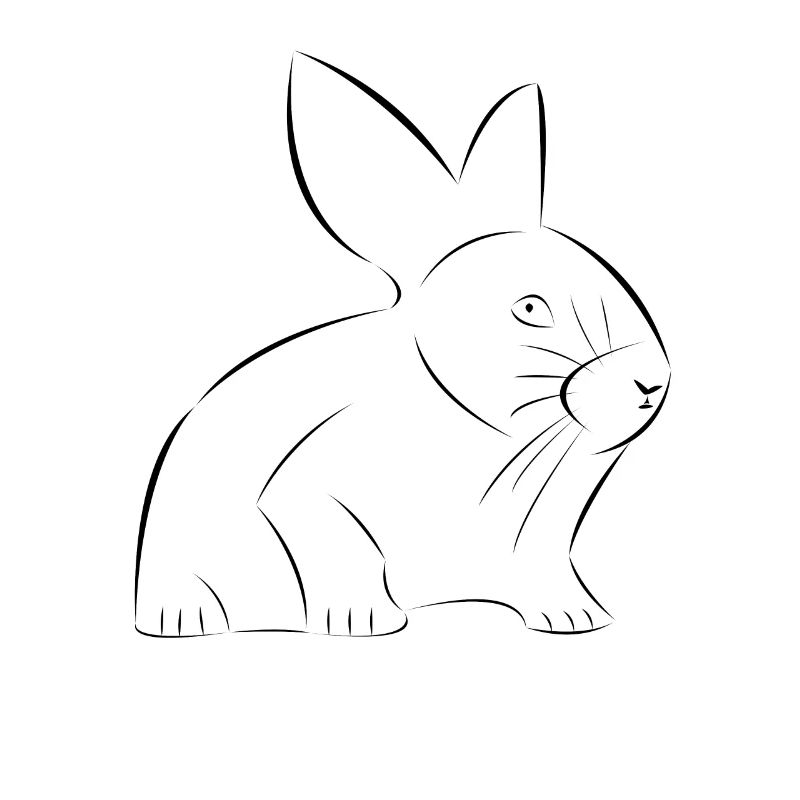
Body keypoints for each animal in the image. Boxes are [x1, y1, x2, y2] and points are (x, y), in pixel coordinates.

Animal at [134, 53, 670, 638]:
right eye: (530, 309)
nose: (651, 381)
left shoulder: (543, 535)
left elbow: (547, 571)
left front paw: (578, 617)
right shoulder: (306, 494)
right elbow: (347, 551)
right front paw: (363, 621)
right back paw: (185, 619)